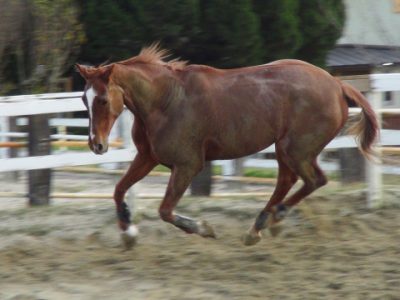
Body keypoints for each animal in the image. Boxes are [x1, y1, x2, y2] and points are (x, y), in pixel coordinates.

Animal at [76, 45, 378, 248]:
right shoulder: (147, 157)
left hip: (295, 149)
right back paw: (259, 226)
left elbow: (165, 210)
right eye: (83, 99)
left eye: (102, 99)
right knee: (289, 180)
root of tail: (337, 85)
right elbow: (119, 190)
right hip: (285, 149)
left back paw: (272, 219)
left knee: (314, 180)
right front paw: (128, 234)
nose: (97, 145)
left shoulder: (187, 165)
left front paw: (204, 228)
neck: (166, 100)